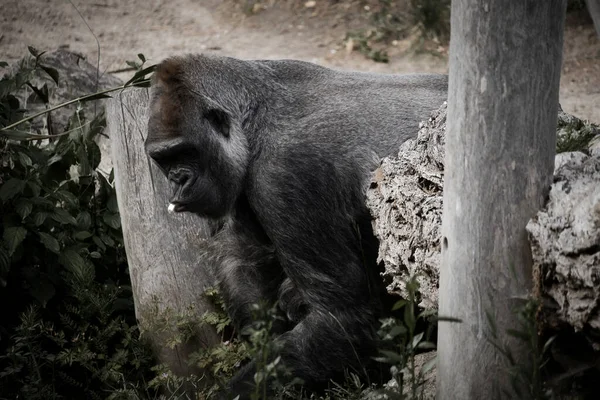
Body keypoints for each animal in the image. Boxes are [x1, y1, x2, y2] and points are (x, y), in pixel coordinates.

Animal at [144, 54, 446, 398]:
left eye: (185, 152)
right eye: (163, 159)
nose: (177, 180)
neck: (253, 118)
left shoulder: (287, 174)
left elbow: (343, 320)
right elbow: (245, 263)